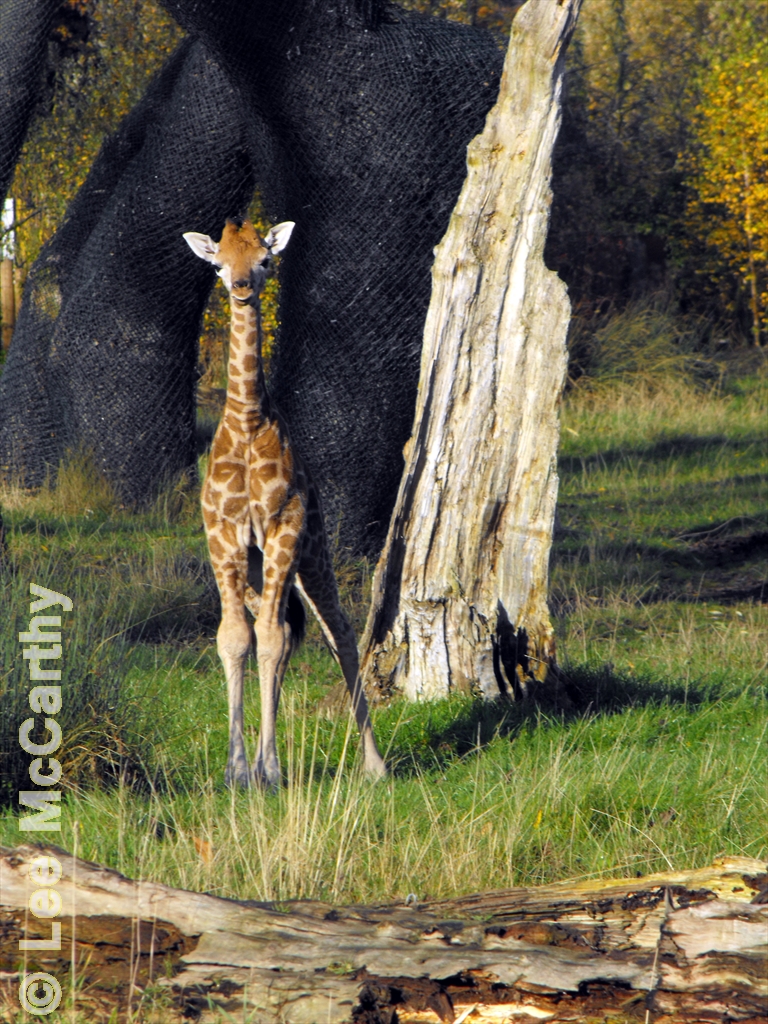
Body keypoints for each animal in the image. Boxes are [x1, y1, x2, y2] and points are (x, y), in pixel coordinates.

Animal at [183, 218, 387, 789]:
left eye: (265, 260)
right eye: (217, 263)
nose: (241, 287)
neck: (249, 420)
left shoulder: (283, 529)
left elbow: (270, 639)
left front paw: (269, 769)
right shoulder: (224, 535)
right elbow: (236, 638)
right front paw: (237, 769)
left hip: (311, 552)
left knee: (339, 633)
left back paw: (375, 765)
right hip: (258, 567)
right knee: (280, 631)